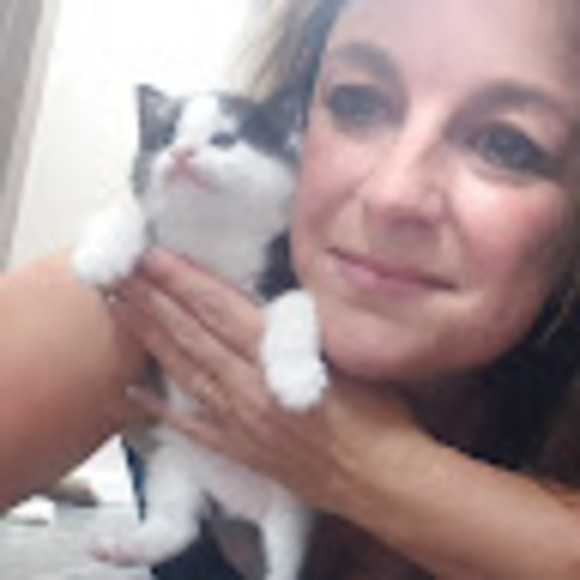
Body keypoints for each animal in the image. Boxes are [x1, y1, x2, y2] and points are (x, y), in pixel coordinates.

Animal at [72, 85, 328, 580]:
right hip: (175, 460)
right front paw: (100, 255)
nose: (182, 152)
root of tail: (237, 500)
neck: (214, 240)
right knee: (178, 527)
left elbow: (297, 307)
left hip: (293, 502)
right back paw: (126, 546)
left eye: (224, 140)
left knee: (283, 558)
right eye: (168, 136)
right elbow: (132, 211)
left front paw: (297, 380)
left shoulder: (286, 270)